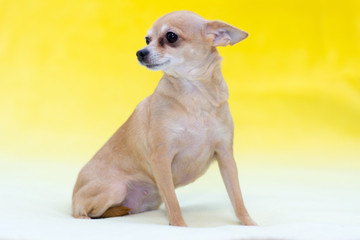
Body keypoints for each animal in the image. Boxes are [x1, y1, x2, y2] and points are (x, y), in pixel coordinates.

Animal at [71, 9, 256, 227]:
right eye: (147, 39)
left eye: (171, 36)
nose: (140, 52)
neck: (195, 96)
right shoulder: (161, 157)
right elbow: (173, 202)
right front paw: (180, 226)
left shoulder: (226, 156)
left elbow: (237, 198)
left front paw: (249, 223)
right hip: (115, 189)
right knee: (81, 212)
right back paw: (86, 218)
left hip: (151, 198)